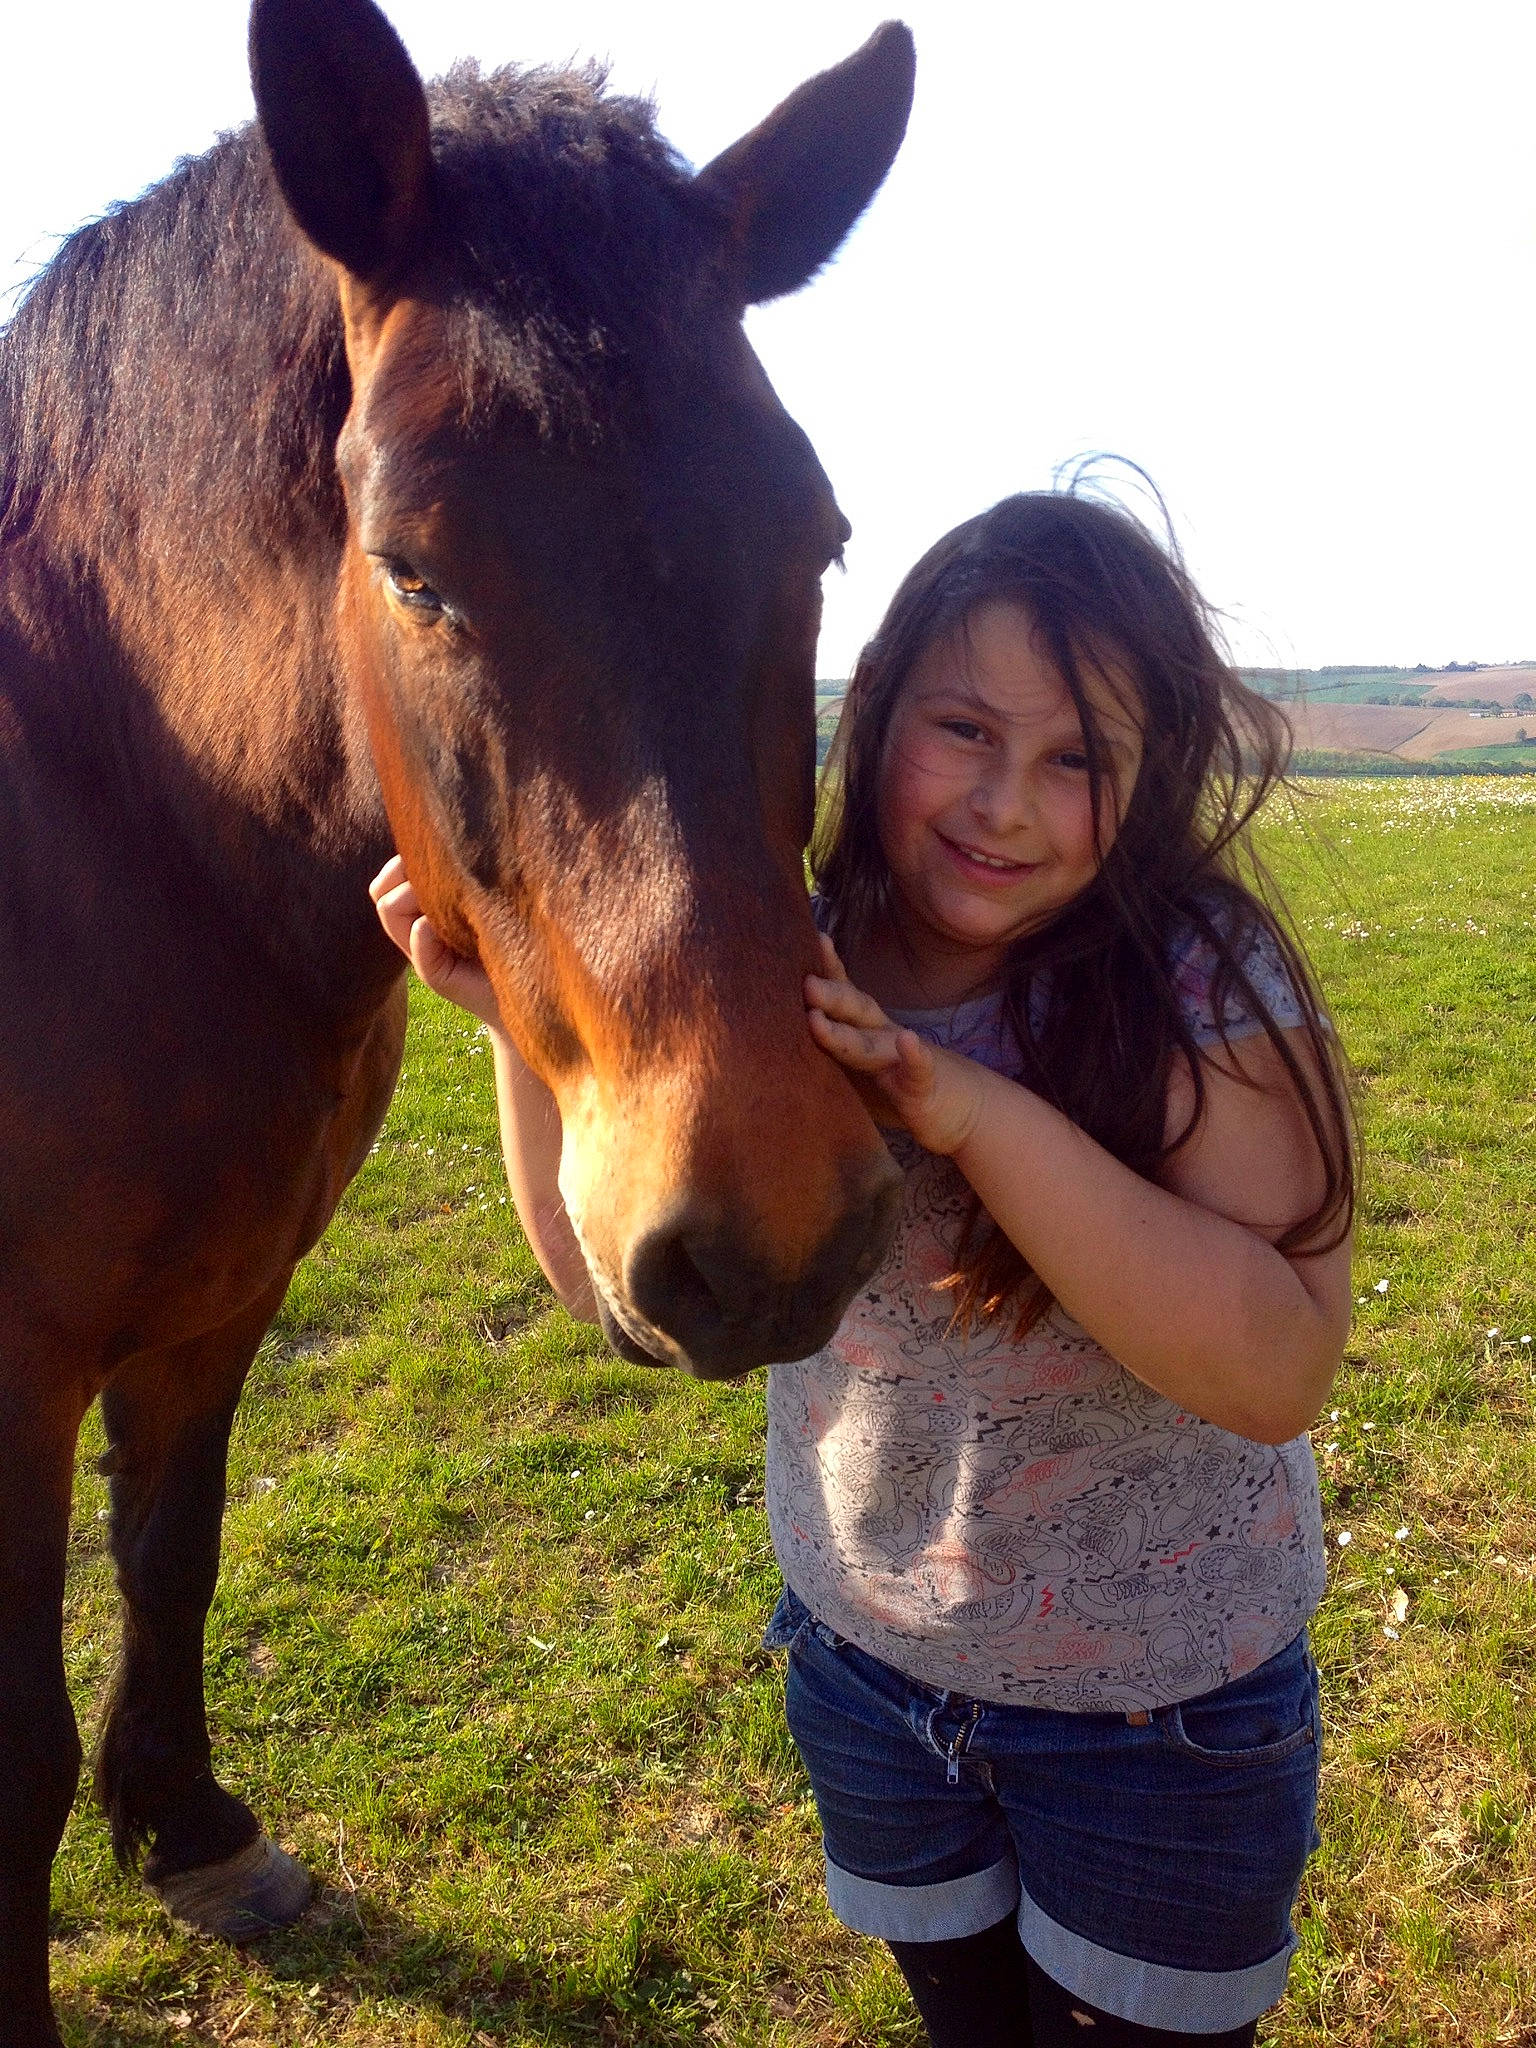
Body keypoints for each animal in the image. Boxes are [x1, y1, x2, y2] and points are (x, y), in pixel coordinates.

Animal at [0, 1, 913, 2035]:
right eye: (409, 564)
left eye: (815, 536)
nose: (766, 1231)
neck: (114, 806)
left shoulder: (222, 1292)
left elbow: (169, 1551)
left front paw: (189, 1828)